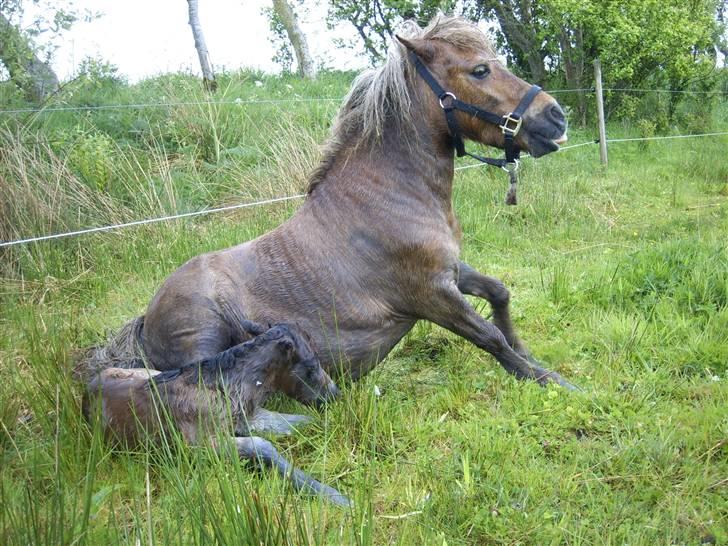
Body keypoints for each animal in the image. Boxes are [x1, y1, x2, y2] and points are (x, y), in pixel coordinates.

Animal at [81, 17, 576, 430]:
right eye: (479, 70)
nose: (555, 116)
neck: (387, 196)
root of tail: (145, 321)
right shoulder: (430, 295)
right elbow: (490, 338)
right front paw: (550, 382)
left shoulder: (452, 272)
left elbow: (500, 295)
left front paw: (532, 358)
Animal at [84, 324, 352, 506]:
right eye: (311, 366)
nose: (335, 394)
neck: (226, 387)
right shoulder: (199, 445)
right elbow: (262, 446)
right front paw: (335, 496)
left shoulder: (248, 417)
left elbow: (297, 422)